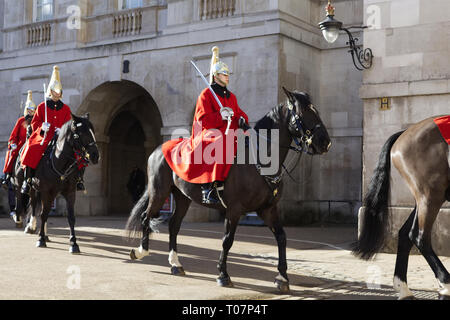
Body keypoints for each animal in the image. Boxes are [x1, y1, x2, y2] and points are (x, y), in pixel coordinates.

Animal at [12, 114, 99, 254]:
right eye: (80, 133)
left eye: (93, 132)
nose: (96, 156)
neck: (60, 162)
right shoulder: (46, 191)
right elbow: (43, 214)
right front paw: (40, 239)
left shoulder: (70, 192)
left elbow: (70, 217)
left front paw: (73, 243)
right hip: (26, 186)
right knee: (29, 201)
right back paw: (27, 223)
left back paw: (44, 233)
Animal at [125, 87, 330, 292]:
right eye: (305, 112)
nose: (325, 142)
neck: (259, 160)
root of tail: (158, 149)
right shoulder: (234, 210)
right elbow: (227, 240)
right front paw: (223, 275)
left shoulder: (267, 209)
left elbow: (281, 237)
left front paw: (282, 278)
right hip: (159, 192)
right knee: (146, 217)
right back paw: (141, 251)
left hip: (182, 197)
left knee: (174, 225)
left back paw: (176, 264)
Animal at [354, 115, 448, 300]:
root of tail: (404, 133)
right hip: (431, 196)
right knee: (419, 237)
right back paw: (446, 283)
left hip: (424, 199)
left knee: (405, 234)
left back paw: (403, 288)